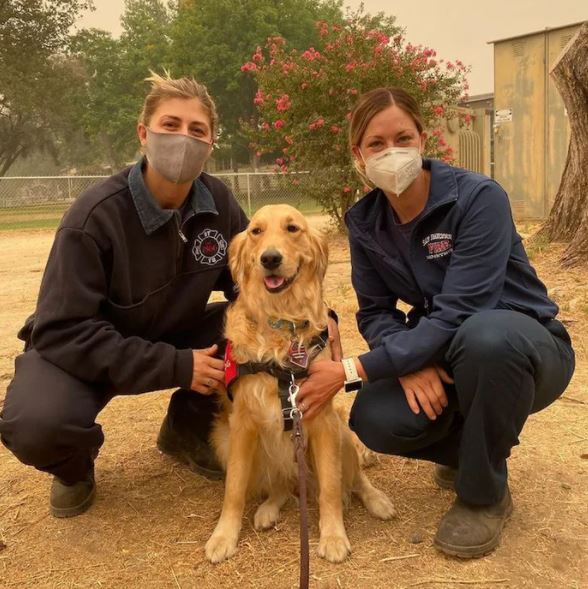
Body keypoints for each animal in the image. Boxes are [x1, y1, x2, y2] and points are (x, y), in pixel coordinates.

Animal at [204, 204, 392, 564]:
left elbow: (331, 488)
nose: (270, 258)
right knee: (281, 484)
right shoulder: (243, 425)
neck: (282, 324)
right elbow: (233, 488)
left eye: (292, 228)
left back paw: (376, 499)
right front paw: (223, 535)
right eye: (256, 232)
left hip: (339, 433)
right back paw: (268, 509)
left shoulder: (321, 421)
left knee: (354, 478)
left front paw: (333, 536)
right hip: (227, 440)